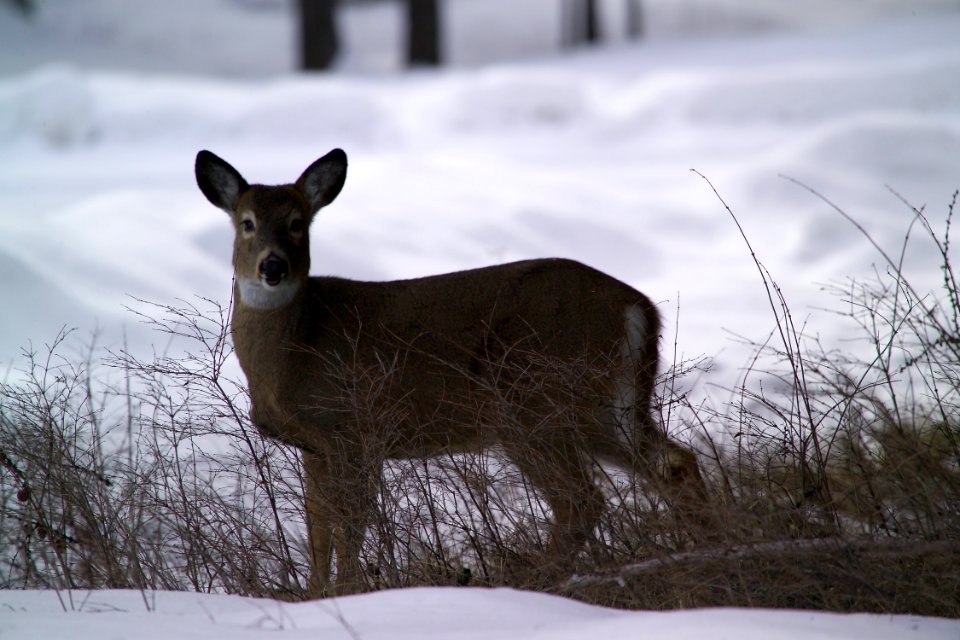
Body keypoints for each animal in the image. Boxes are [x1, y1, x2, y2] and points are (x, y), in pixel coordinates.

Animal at [195, 148, 708, 596]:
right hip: (604, 407)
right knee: (675, 462)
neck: (298, 346)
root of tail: (639, 308)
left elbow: (349, 525)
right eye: (247, 223)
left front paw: (346, 592)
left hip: (528, 399)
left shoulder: (355, 430)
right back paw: (707, 542)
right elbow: (318, 526)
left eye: (297, 223)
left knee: (583, 499)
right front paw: (314, 595)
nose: (273, 266)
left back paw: (531, 580)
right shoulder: (315, 445)